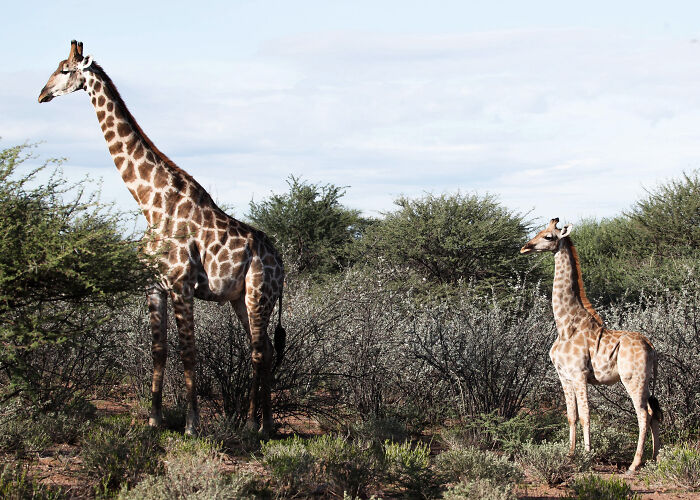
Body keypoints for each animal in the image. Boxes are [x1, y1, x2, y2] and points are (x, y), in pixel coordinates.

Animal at [39, 41, 286, 436]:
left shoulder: (182, 284)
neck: (151, 204)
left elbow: (188, 352)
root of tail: (281, 263)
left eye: (64, 70)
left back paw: (254, 425)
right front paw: (154, 419)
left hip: (258, 293)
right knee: (263, 351)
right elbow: (159, 350)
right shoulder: (153, 285)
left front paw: (191, 424)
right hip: (240, 298)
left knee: (259, 352)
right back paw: (264, 425)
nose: (42, 94)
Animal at [520, 218, 661, 472]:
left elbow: (586, 415)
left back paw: (634, 464)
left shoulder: (579, 374)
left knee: (643, 414)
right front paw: (569, 455)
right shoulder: (564, 376)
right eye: (539, 231)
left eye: (548, 236)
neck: (565, 325)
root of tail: (651, 347)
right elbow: (571, 415)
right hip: (644, 381)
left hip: (633, 379)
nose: (525, 247)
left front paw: (586, 456)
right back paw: (654, 459)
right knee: (654, 412)